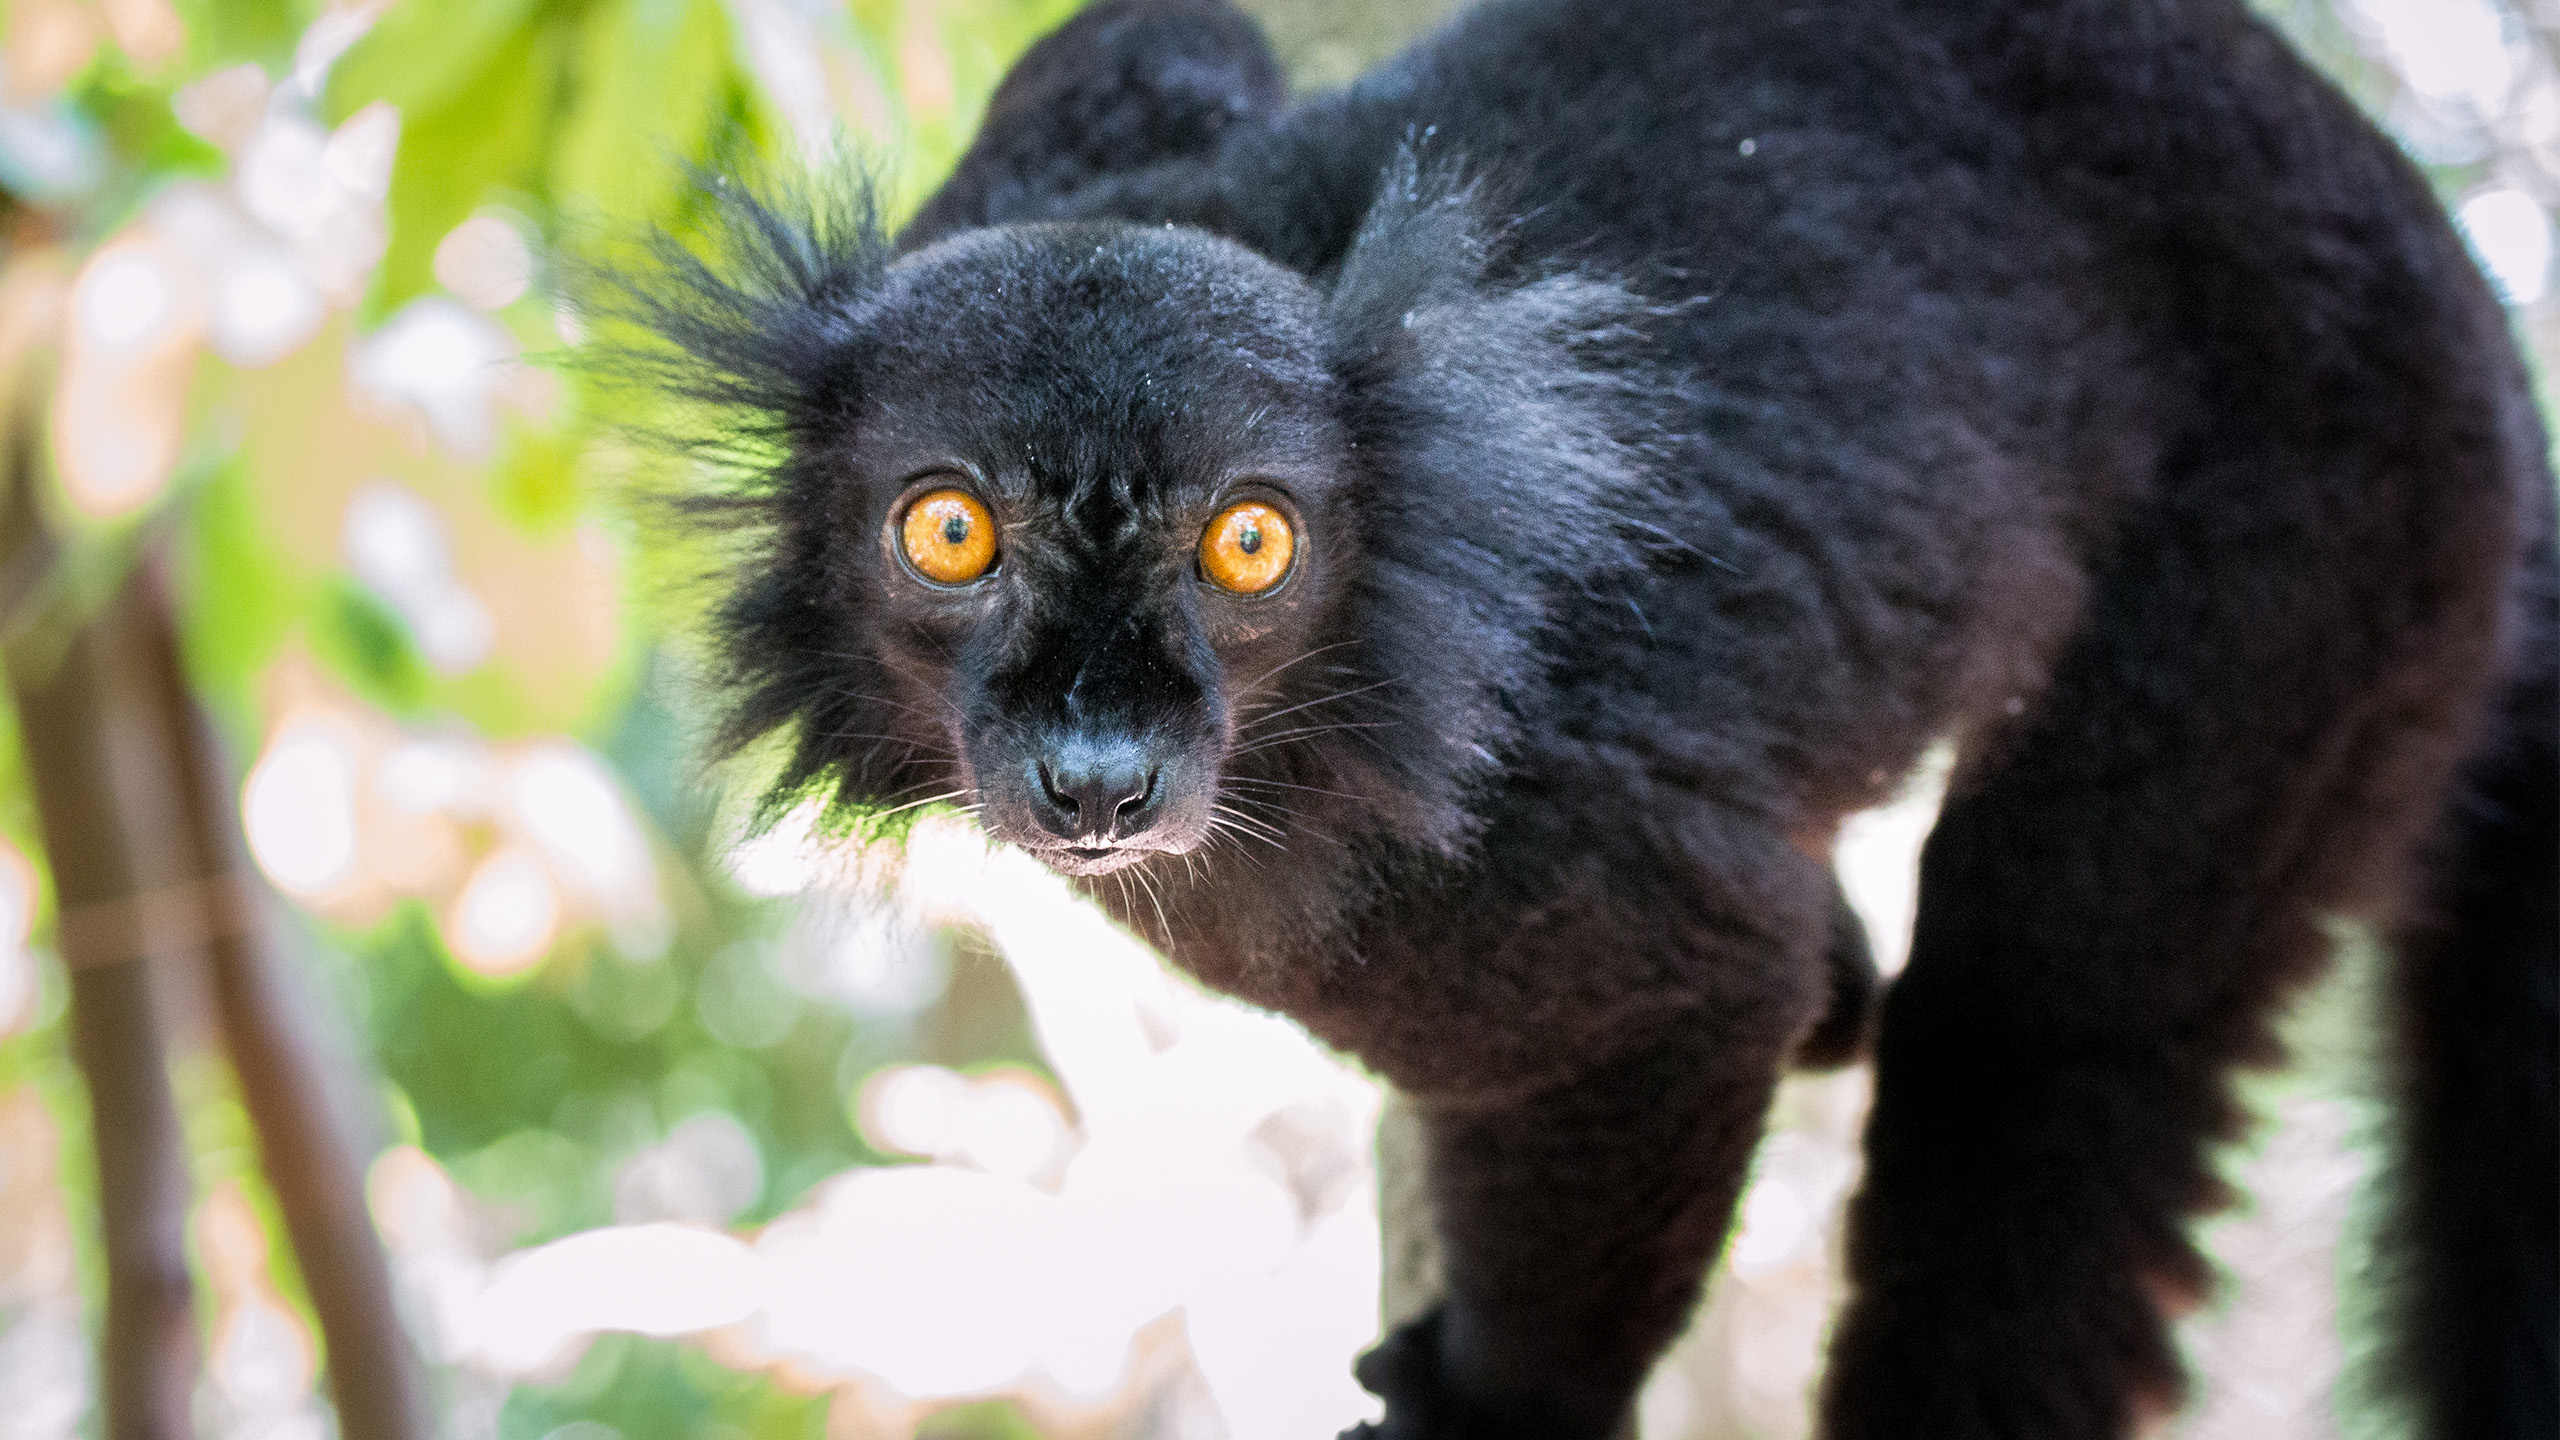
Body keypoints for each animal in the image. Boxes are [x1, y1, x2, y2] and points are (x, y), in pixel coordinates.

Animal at [593, 0, 2559, 1435]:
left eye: (1250, 542)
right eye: (949, 533)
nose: (1100, 777)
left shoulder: (1477, 869)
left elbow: (1684, 996)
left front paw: (1495, 1416)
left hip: (2323, 546)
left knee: (2052, 1036)